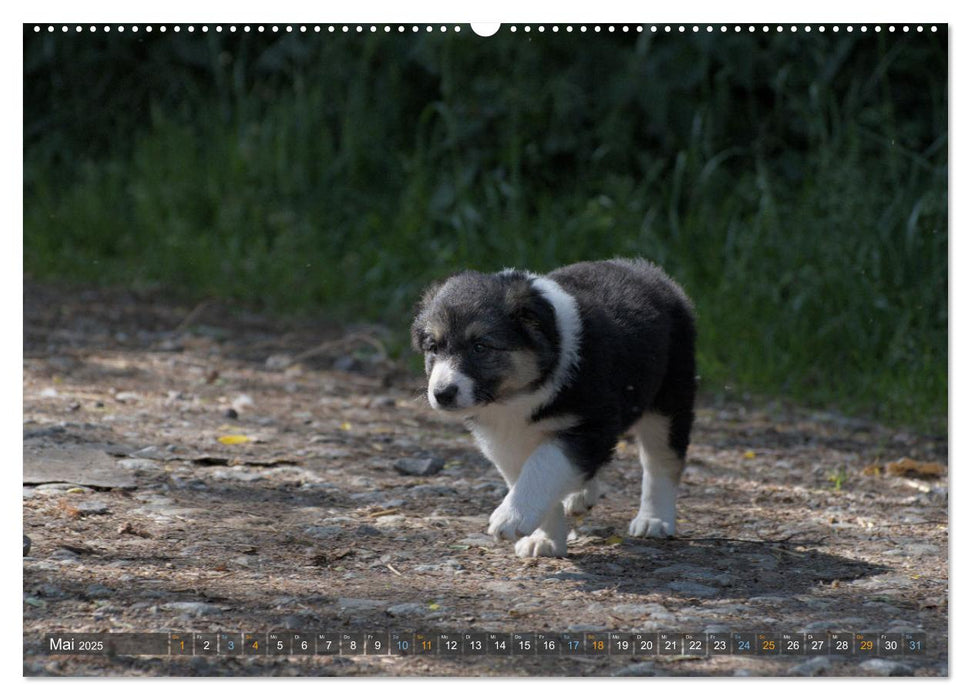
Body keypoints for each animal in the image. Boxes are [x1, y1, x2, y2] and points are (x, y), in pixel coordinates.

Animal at [414, 258, 696, 556]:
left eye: (480, 347)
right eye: (433, 347)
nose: (442, 394)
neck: (519, 396)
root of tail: (646, 268)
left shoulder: (588, 425)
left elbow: (544, 465)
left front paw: (511, 517)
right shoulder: (506, 442)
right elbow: (533, 477)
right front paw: (545, 540)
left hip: (669, 399)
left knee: (661, 461)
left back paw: (654, 520)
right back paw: (582, 495)